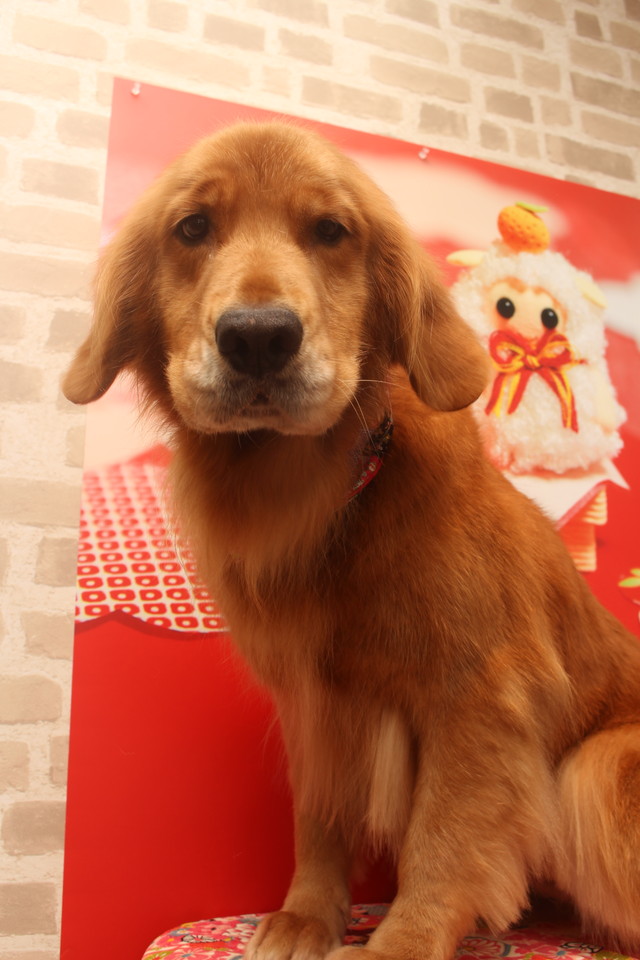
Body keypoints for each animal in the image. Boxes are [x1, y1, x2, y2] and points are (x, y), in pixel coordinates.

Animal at [63, 122, 640, 960]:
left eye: (331, 231)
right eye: (193, 228)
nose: (259, 338)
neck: (317, 498)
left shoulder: (480, 697)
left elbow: (443, 835)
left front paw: (403, 940)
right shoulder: (316, 704)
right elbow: (319, 822)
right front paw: (307, 916)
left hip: (600, 765)